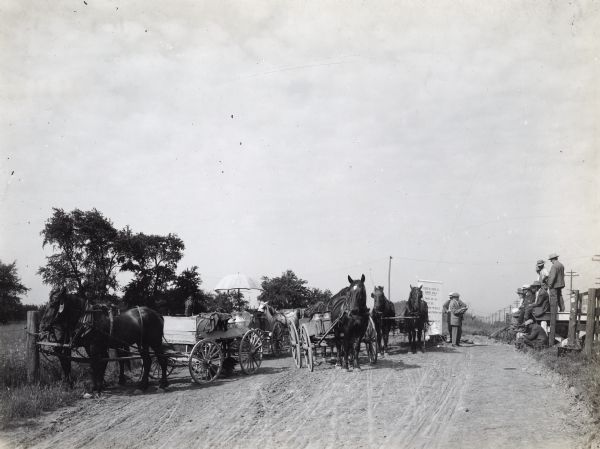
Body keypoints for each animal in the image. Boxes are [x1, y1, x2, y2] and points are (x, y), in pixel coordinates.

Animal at [41, 290, 169, 392]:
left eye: (53, 304)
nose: (43, 326)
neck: (88, 319)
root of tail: (157, 314)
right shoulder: (90, 347)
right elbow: (95, 364)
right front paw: (97, 386)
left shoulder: (94, 346)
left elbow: (96, 364)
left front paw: (97, 387)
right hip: (142, 343)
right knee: (147, 361)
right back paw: (143, 385)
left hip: (155, 342)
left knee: (162, 360)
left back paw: (163, 384)